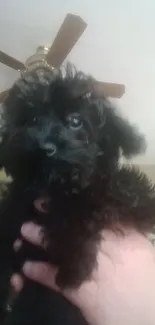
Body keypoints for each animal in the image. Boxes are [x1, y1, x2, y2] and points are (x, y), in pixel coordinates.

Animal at [0, 64, 155, 324]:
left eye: (75, 121)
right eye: (32, 119)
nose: (45, 146)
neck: (56, 186)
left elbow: (111, 189)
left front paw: (74, 267)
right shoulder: (20, 210)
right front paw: (75, 264)